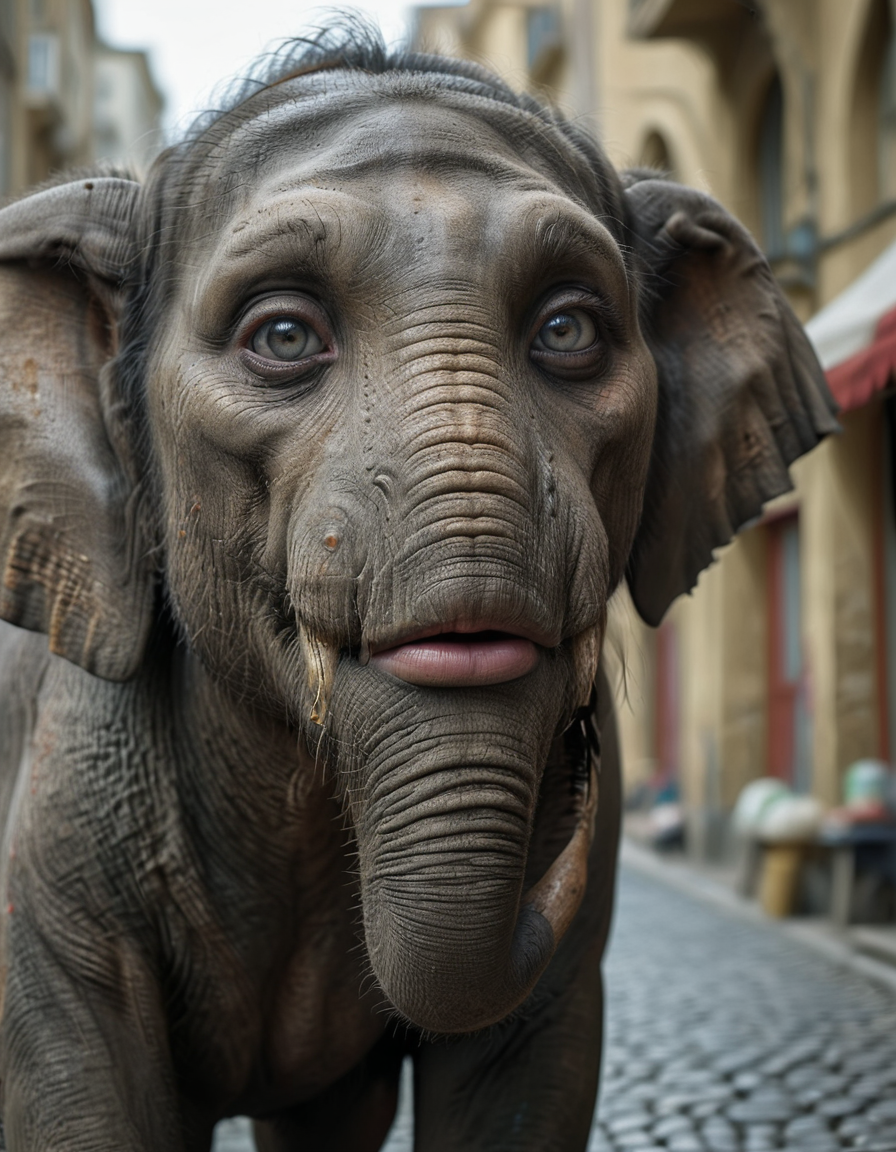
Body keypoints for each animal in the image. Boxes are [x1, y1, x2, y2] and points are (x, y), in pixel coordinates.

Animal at [0, 22, 836, 1152]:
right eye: (282, 336)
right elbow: (80, 1087)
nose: (577, 764)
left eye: (568, 329)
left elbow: (523, 1073)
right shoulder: (63, 814)